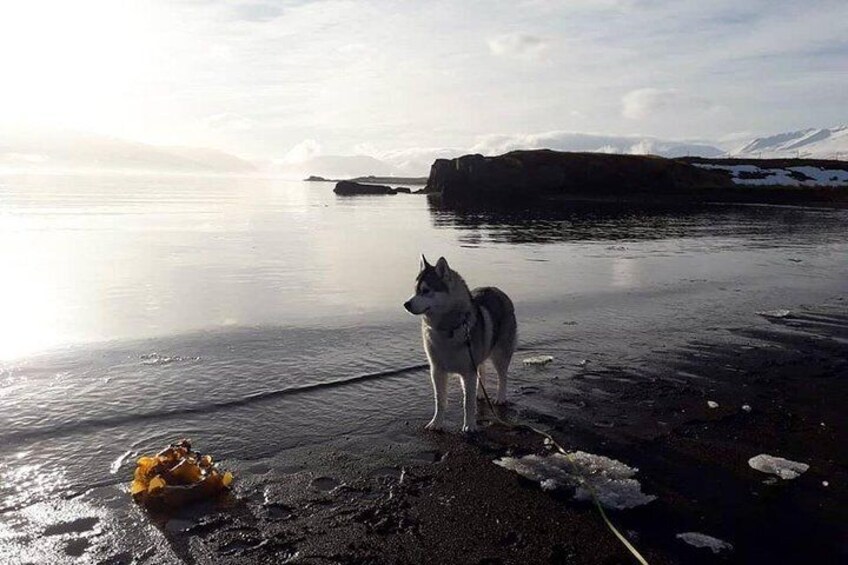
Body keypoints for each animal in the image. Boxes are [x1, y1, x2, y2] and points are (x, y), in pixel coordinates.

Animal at [404, 256, 516, 432]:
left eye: (426, 290)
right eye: (415, 290)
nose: (406, 304)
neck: (448, 329)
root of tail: (497, 290)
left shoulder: (468, 372)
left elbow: (468, 403)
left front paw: (469, 425)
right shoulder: (437, 371)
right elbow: (440, 400)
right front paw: (436, 423)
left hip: (500, 354)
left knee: (502, 376)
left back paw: (500, 397)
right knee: (482, 371)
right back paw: (480, 393)